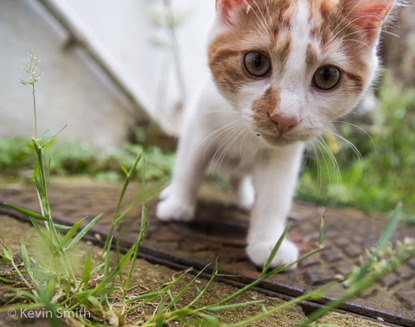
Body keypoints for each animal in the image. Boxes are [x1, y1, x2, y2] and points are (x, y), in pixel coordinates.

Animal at [156, 0, 396, 270]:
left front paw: (268, 244)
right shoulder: (199, 125)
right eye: (256, 62)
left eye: (327, 76)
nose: (285, 117)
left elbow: (274, 196)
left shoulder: (283, 157)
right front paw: (177, 206)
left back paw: (246, 198)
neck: (248, 131)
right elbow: (190, 168)